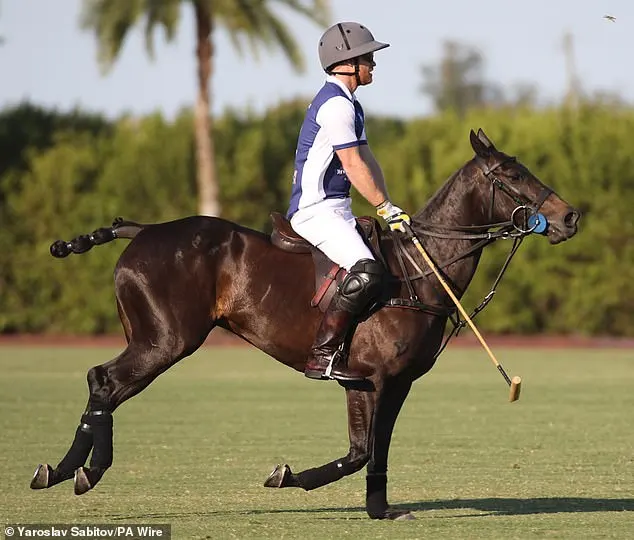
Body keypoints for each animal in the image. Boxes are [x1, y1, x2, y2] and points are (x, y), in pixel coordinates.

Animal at [32, 130, 580, 520]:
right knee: (104, 380)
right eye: (512, 176)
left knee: (101, 382)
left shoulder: (375, 382)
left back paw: (63, 471)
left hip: (155, 338)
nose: (570, 217)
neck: (417, 269)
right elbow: (365, 451)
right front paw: (291, 478)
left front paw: (372, 507)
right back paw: (82, 471)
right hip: (164, 339)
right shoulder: (379, 379)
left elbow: (366, 451)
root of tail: (143, 230)